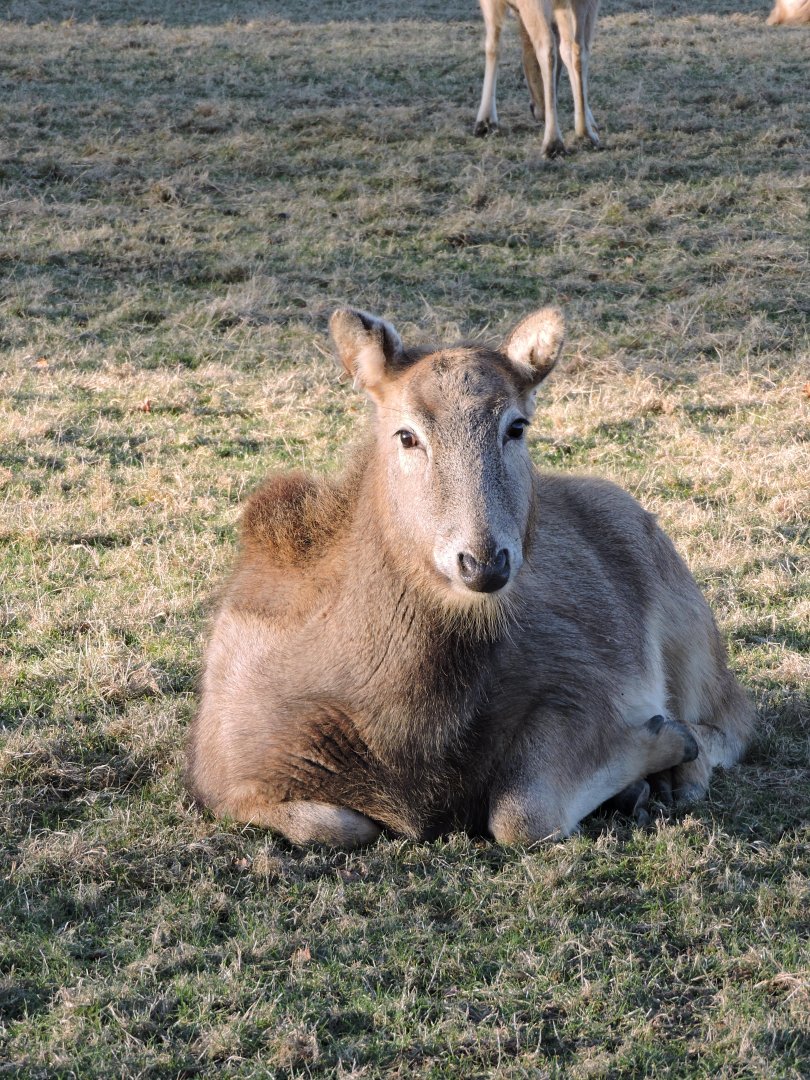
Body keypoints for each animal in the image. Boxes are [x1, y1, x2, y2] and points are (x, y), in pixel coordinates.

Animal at [187, 306, 755, 848]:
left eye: (516, 426)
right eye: (407, 434)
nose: (483, 561)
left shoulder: (586, 684)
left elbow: (521, 813)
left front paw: (664, 743)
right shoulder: (222, 778)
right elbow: (336, 825)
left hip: (691, 633)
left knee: (737, 719)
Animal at [475, 0, 601, 157]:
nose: (539, 113)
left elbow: (493, 46)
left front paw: (485, 122)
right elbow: (567, 51)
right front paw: (592, 124)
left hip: (535, 4)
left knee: (546, 49)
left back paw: (553, 143)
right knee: (578, 48)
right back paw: (586, 134)